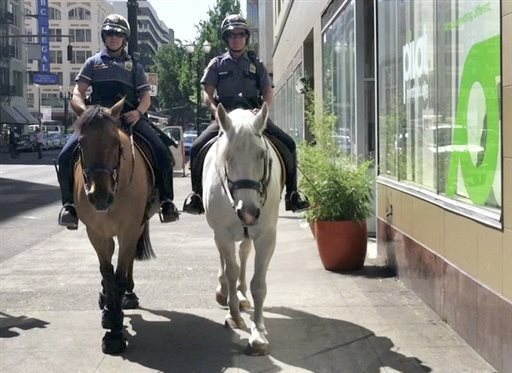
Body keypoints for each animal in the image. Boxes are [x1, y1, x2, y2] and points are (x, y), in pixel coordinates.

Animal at [72, 97, 158, 354]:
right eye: (80, 143)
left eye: (116, 143)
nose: (100, 196)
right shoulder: (96, 233)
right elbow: (107, 274)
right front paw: (110, 315)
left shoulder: (129, 230)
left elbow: (118, 277)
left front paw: (115, 334)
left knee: (128, 262)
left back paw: (128, 295)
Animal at [204, 102, 284, 354]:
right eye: (227, 157)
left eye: (261, 155)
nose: (247, 212)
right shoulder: (223, 234)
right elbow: (230, 271)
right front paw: (234, 316)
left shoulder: (266, 237)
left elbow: (258, 284)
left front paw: (258, 335)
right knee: (226, 259)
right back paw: (225, 293)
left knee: (244, 254)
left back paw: (241, 294)